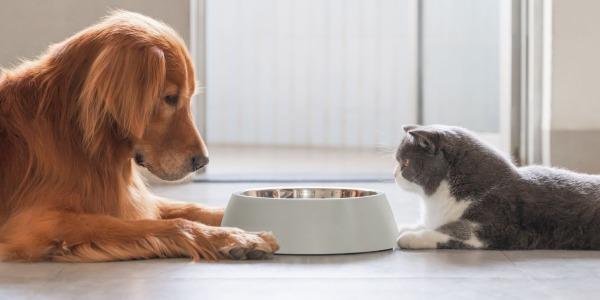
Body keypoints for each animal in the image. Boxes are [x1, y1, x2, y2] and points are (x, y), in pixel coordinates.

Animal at [0, 10, 278, 262]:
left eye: (190, 97)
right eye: (170, 98)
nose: (203, 162)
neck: (76, 133)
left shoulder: (130, 199)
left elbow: (190, 207)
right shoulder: (39, 222)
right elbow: (172, 223)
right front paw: (235, 237)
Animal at [394, 123, 600, 250]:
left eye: (405, 163)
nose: (394, 174)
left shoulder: (494, 226)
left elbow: (451, 230)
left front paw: (410, 237)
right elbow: (430, 223)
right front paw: (405, 227)